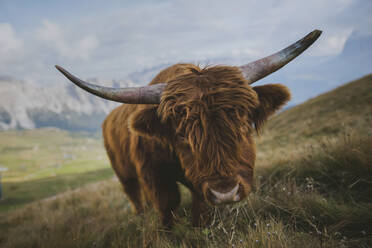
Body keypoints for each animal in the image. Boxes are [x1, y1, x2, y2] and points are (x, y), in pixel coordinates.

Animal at [56, 29, 322, 227]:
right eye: (182, 134)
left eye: (244, 122)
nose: (225, 193)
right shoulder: (154, 175)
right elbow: (167, 205)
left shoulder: (199, 185)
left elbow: (200, 208)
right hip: (124, 173)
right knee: (134, 196)